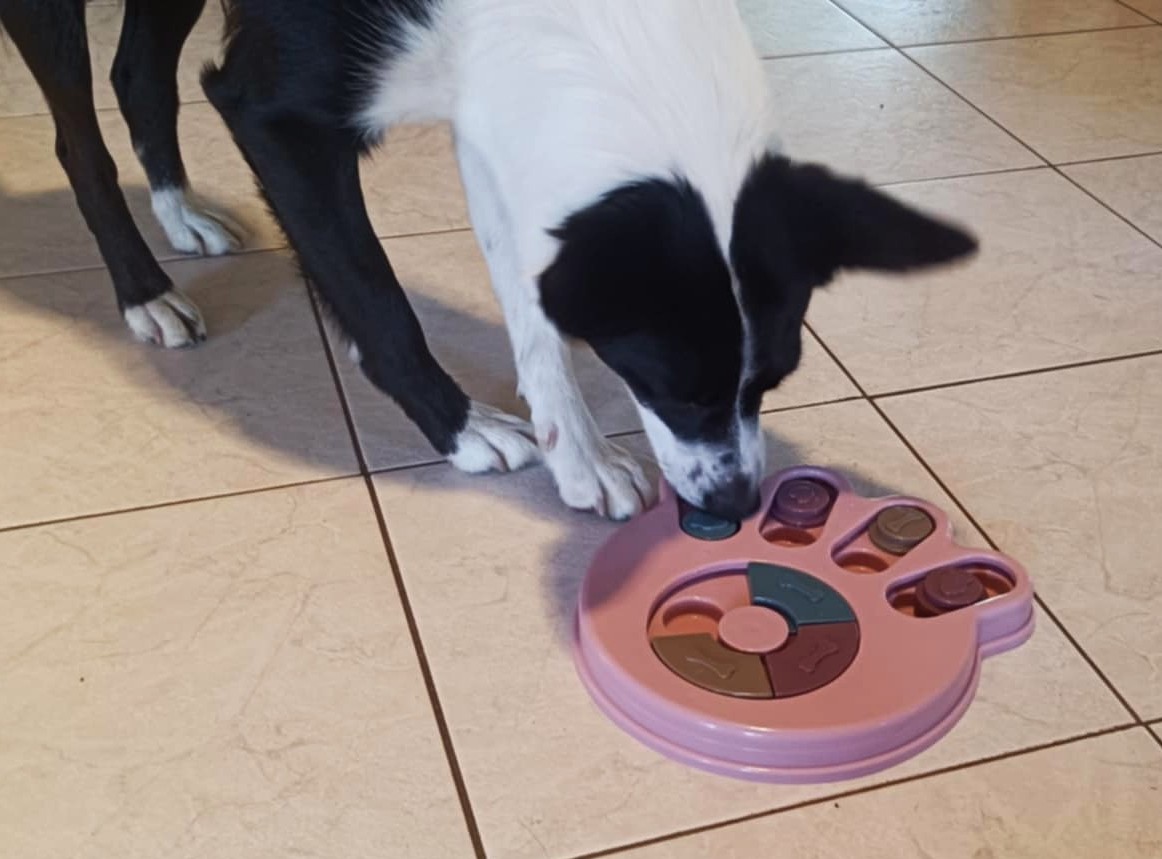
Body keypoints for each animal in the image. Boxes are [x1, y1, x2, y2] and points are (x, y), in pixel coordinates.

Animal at [0, 0, 239, 347]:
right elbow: (89, 160)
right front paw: (145, 293)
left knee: (140, 84)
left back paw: (181, 214)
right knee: (80, 151)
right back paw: (147, 290)